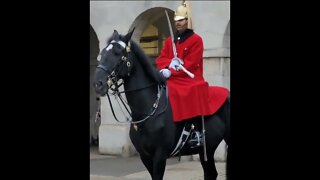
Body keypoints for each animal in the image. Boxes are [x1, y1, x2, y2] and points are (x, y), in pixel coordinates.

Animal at [93, 28, 230, 179]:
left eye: (118, 53)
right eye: (103, 53)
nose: (98, 84)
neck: (148, 110)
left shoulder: (160, 155)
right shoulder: (145, 156)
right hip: (207, 148)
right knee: (211, 173)